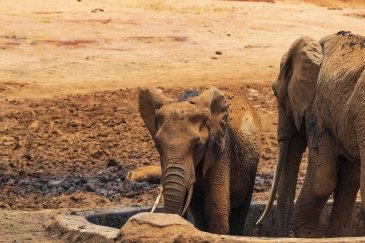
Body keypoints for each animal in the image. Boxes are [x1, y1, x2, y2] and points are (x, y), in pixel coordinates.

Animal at [256, 30, 364, 237]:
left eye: (275, 93)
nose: (258, 225)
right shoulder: (344, 118)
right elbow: (349, 182)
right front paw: (335, 236)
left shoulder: (317, 109)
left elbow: (322, 180)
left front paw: (306, 234)